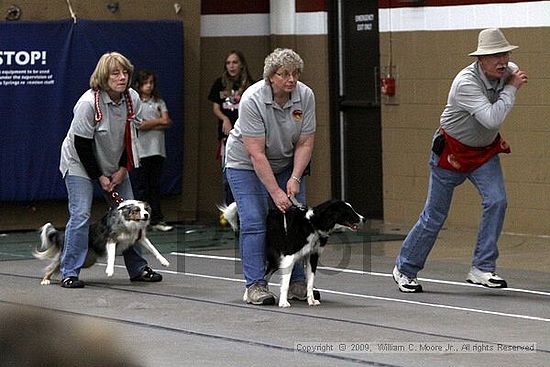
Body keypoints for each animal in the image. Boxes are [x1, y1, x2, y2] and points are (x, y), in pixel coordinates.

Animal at [34, 201, 170, 284]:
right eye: (136, 210)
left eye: (146, 209)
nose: (146, 215)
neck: (129, 222)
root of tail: (64, 235)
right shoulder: (111, 240)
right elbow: (112, 257)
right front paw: (110, 271)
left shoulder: (140, 238)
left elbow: (154, 249)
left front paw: (164, 261)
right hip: (70, 256)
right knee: (54, 265)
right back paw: (46, 280)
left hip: (89, 260)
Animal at [220, 198, 366, 308]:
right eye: (348, 211)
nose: (364, 218)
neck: (312, 224)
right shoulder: (288, 257)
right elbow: (285, 283)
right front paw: (284, 302)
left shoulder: (312, 256)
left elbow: (310, 281)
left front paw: (311, 300)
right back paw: (252, 294)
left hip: (275, 261)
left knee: (265, 275)